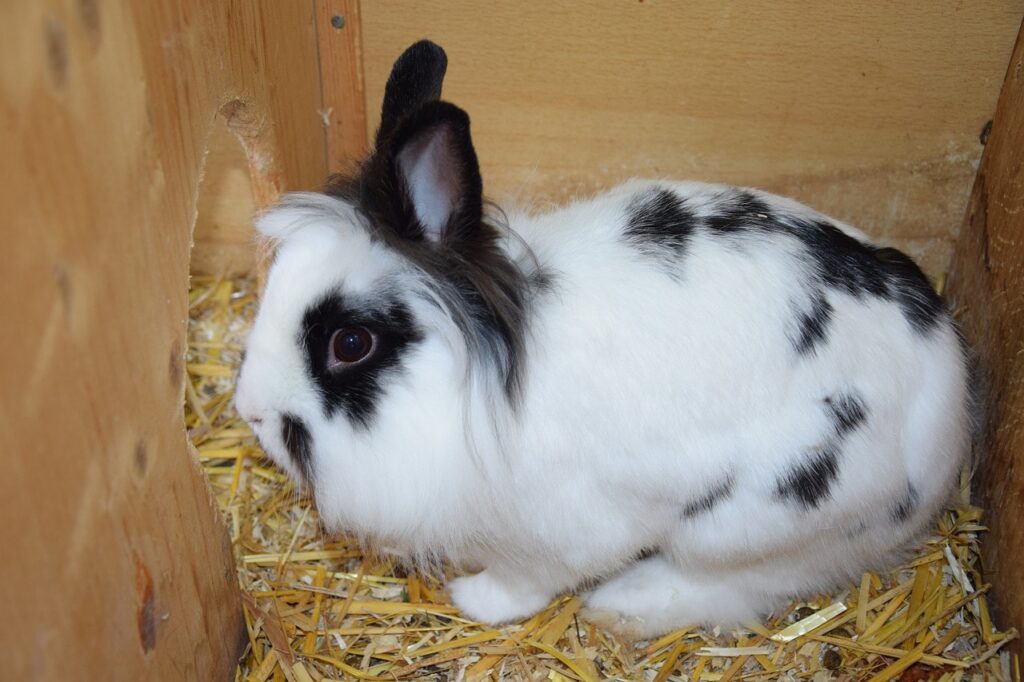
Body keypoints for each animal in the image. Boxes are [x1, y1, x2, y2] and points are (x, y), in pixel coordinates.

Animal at [234, 39, 970, 639]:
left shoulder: (559, 533)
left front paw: (475, 600)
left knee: (746, 582)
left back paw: (625, 606)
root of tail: (951, 401)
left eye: (351, 344)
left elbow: (525, 583)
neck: (476, 383)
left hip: (754, 523)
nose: (251, 413)